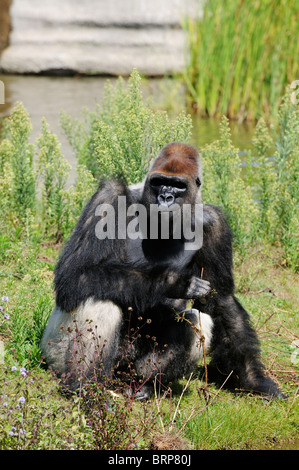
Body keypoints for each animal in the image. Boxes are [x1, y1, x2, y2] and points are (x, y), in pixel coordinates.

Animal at [40, 141, 286, 398]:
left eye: (178, 185)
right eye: (159, 181)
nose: (165, 197)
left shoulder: (214, 223)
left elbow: (221, 299)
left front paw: (251, 380)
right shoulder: (109, 196)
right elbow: (75, 274)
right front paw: (173, 281)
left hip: (130, 369)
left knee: (198, 322)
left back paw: (145, 385)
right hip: (54, 350)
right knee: (97, 297)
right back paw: (85, 388)